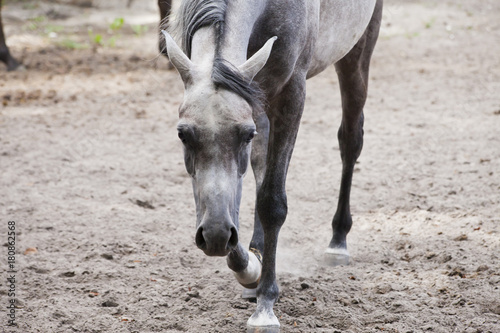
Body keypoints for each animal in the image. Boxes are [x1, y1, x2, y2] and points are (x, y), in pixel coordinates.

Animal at [162, 0, 380, 330]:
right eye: (182, 134)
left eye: (245, 134)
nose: (215, 235)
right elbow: (240, 189)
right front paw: (249, 264)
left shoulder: (291, 94)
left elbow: (271, 201)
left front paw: (265, 303)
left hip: (358, 49)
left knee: (351, 140)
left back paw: (338, 241)